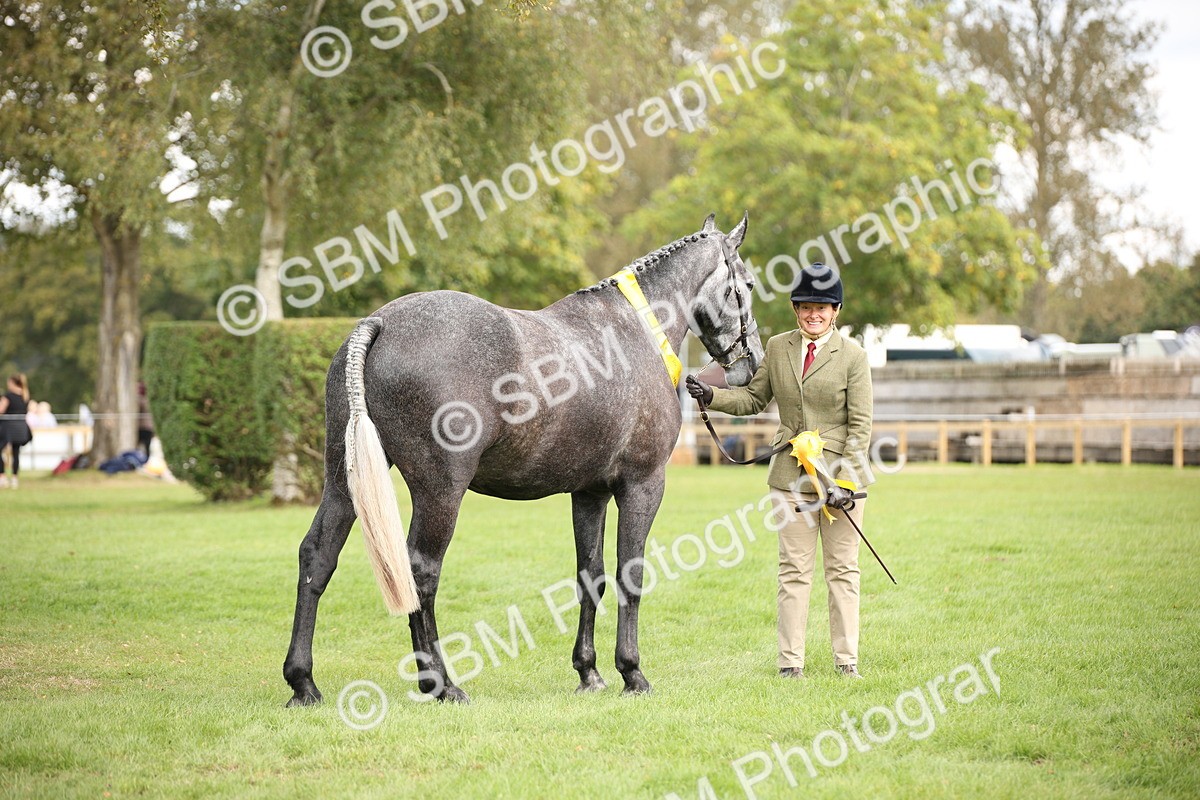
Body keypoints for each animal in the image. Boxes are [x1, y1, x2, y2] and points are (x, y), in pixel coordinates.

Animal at [283, 213, 764, 706]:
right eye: (746, 284)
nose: (750, 364)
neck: (635, 331)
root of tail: (380, 323)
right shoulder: (642, 485)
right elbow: (630, 574)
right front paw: (632, 673)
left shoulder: (589, 493)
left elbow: (590, 576)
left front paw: (589, 672)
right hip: (440, 491)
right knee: (422, 570)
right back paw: (442, 684)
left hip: (341, 481)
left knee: (317, 557)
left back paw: (304, 682)